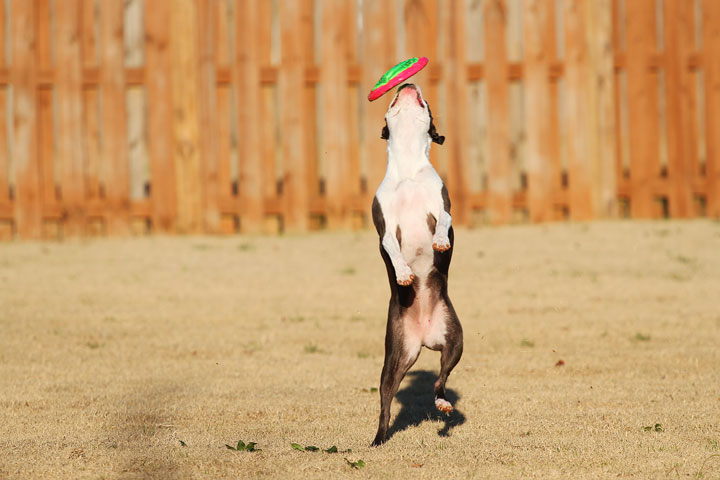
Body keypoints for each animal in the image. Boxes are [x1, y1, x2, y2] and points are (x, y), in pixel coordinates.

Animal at [368, 83, 464, 446]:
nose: (406, 83)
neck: (409, 167)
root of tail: (424, 335)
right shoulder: (384, 225)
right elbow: (393, 250)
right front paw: (404, 273)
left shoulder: (441, 206)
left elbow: (444, 222)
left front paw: (440, 243)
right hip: (394, 356)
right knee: (385, 400)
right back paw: (378, 439)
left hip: (454, 339)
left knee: (441, 378)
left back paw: (444, 405)